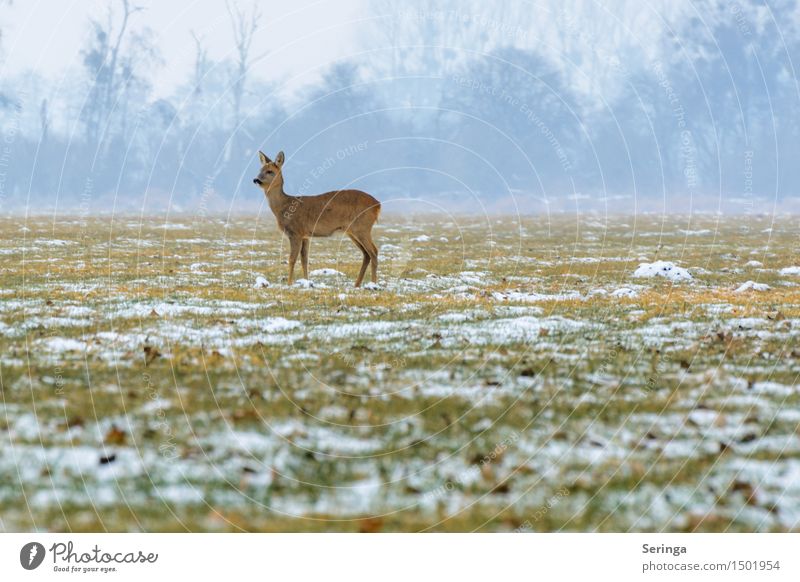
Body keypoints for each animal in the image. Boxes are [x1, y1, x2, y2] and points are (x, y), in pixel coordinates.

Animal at [255, 151, 382, 288]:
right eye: (260, 170)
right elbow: (304, 259)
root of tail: (378, 205)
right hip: (352, 231)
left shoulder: (295, 232)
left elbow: (292, 259)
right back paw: (357, 284)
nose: (256, 180)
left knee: (373, 251)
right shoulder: (305, 235)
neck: (284, 206)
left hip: (362, 227)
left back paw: (373, 284)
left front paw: (289, 284)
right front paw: (307, 282)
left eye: (270, 171)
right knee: (366, 254)